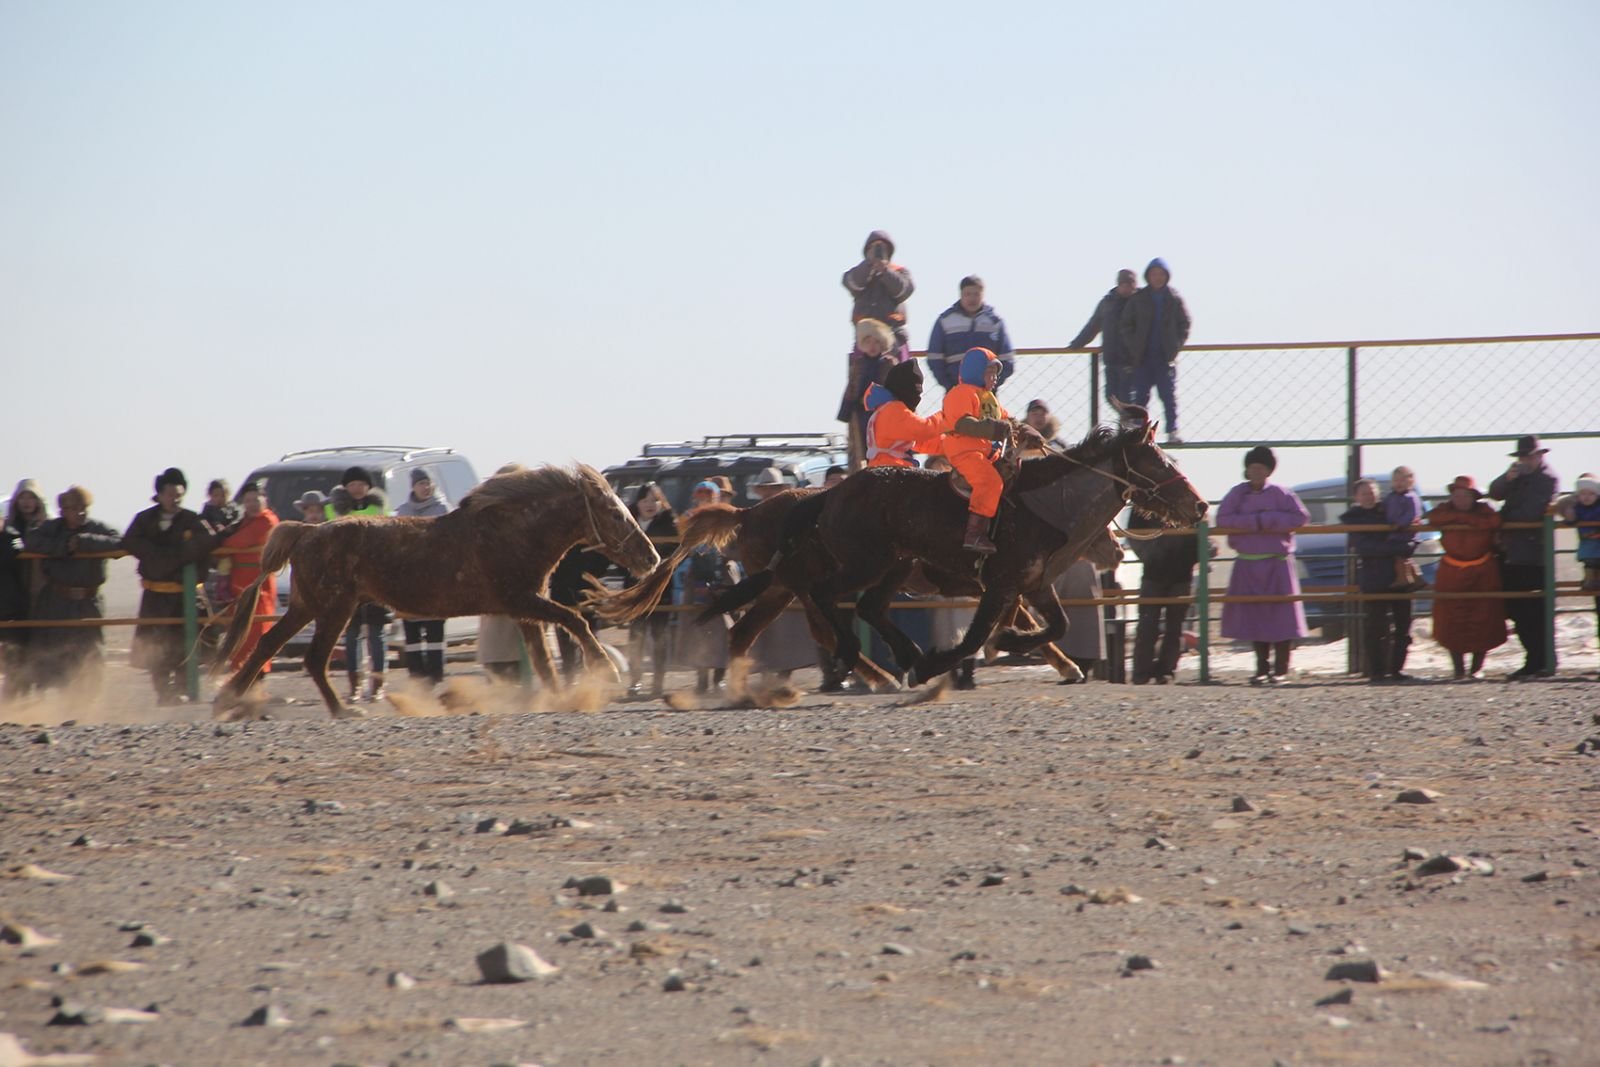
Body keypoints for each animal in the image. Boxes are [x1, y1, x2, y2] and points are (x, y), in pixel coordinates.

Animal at [216, 463, 659, 716]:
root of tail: (307, 531)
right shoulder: (523, 600)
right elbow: (574, 621)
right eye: (612, 511)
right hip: (335, 608)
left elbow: (543, 659)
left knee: (268, 642)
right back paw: (343, 710)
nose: (651, 557)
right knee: (312, 657)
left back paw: (231, 697)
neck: (512, 532)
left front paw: (557, 698)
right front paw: (604, 670)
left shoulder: (524, 609)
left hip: (308, 606)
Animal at [780, 409, 1203, 684]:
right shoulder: (999, 586)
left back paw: (905, 657)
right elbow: (975, 637)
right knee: (826, 596)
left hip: (894, 568)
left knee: (869, 607)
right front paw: (942, 663)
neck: (1044, 506)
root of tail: (831, 493)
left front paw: (1012, 640)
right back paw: (858, 653)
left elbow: (1058, 625)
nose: (1198, 505)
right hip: (864, 566)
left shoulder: (1034, 585)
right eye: (1157, 463)